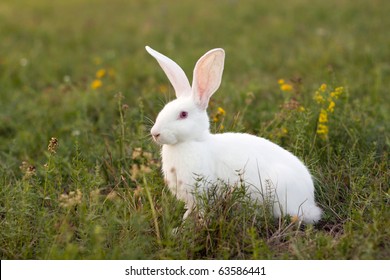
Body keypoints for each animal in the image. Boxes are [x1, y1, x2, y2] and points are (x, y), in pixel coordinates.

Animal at [145, 46, 322, 223]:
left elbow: (201, 210)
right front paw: (183, 221)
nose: (155, 133)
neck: (192, 142)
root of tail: (310, 201)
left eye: (183, 114)